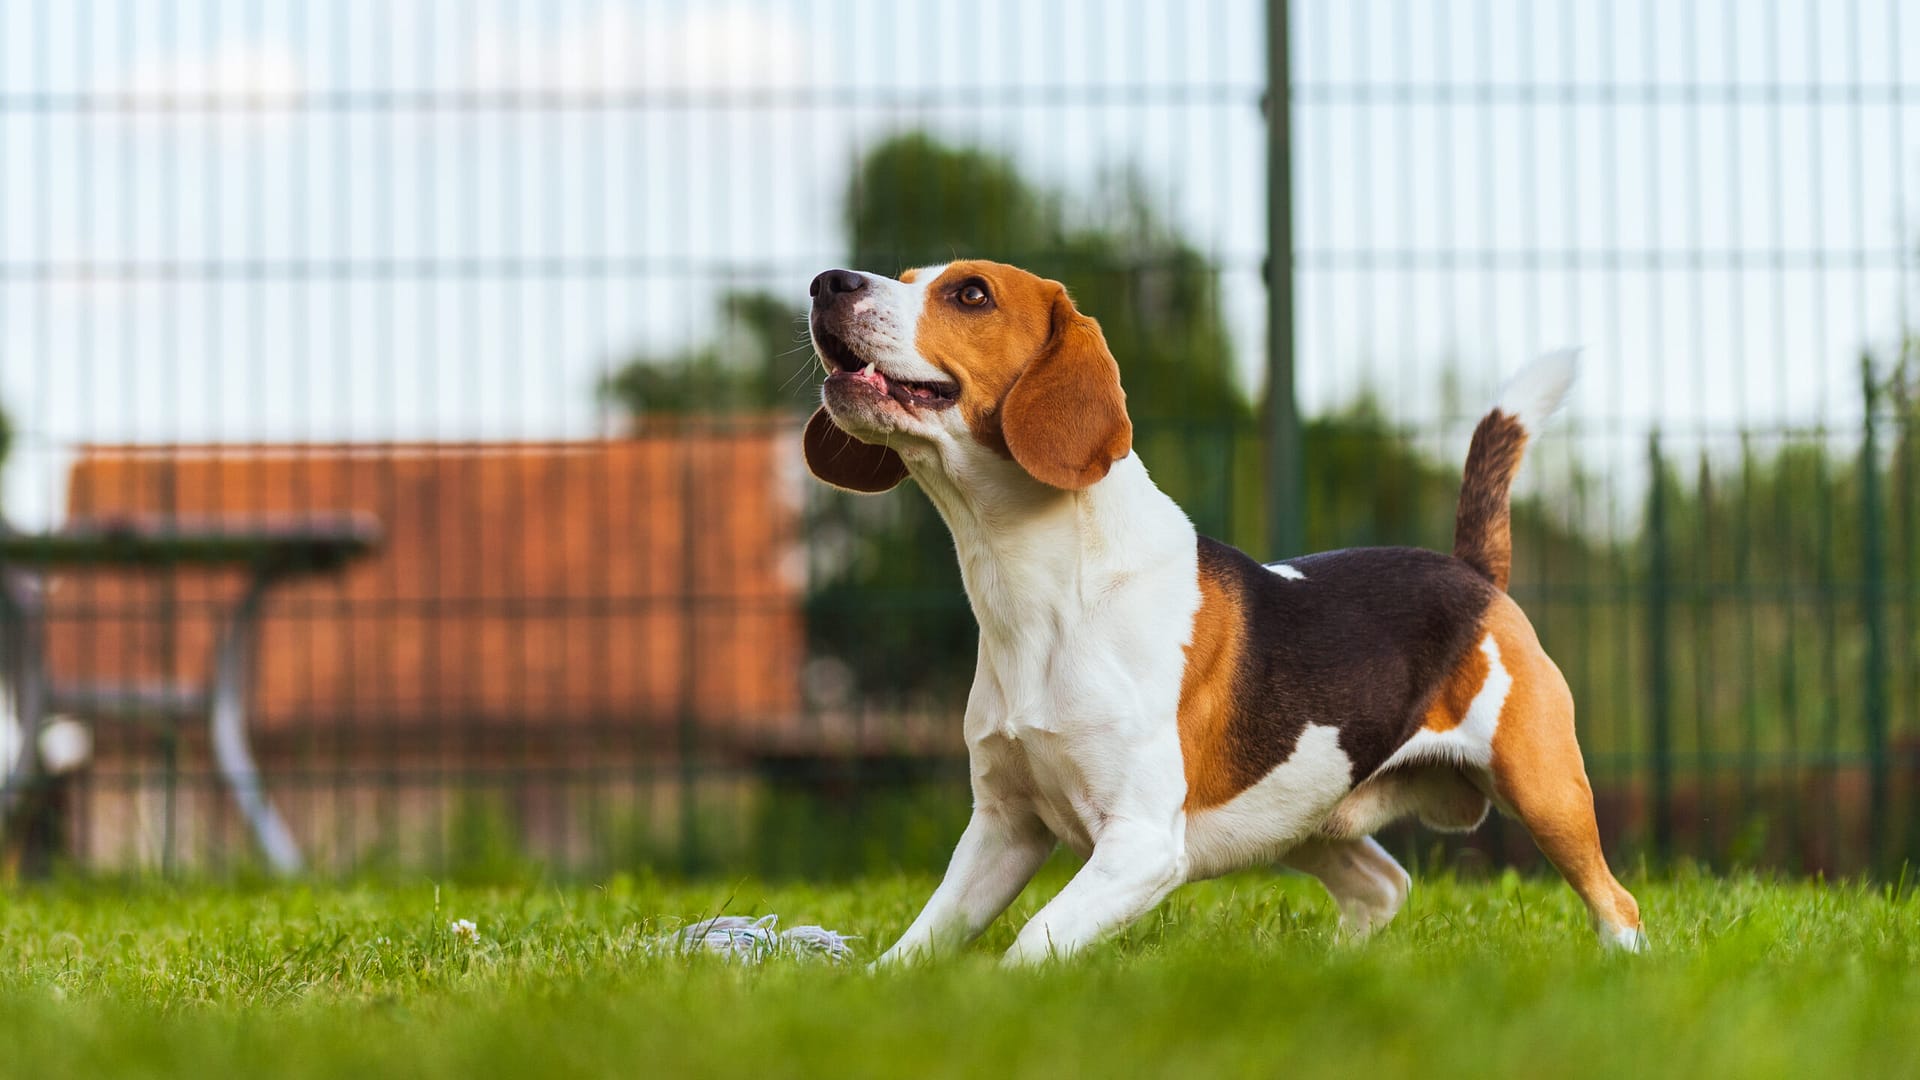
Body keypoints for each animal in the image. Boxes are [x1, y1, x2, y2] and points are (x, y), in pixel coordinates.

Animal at [802, 259, 1643, 957]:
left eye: (971, 294)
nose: (826, 282)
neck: (1040, 593)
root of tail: (1473, 571)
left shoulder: (1140, 845)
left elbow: (1033, 939)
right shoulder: (1002, 830)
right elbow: (920, 942)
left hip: (1544, 789)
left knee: (1617, 904)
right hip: (1302, 815)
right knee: (1384, 887)